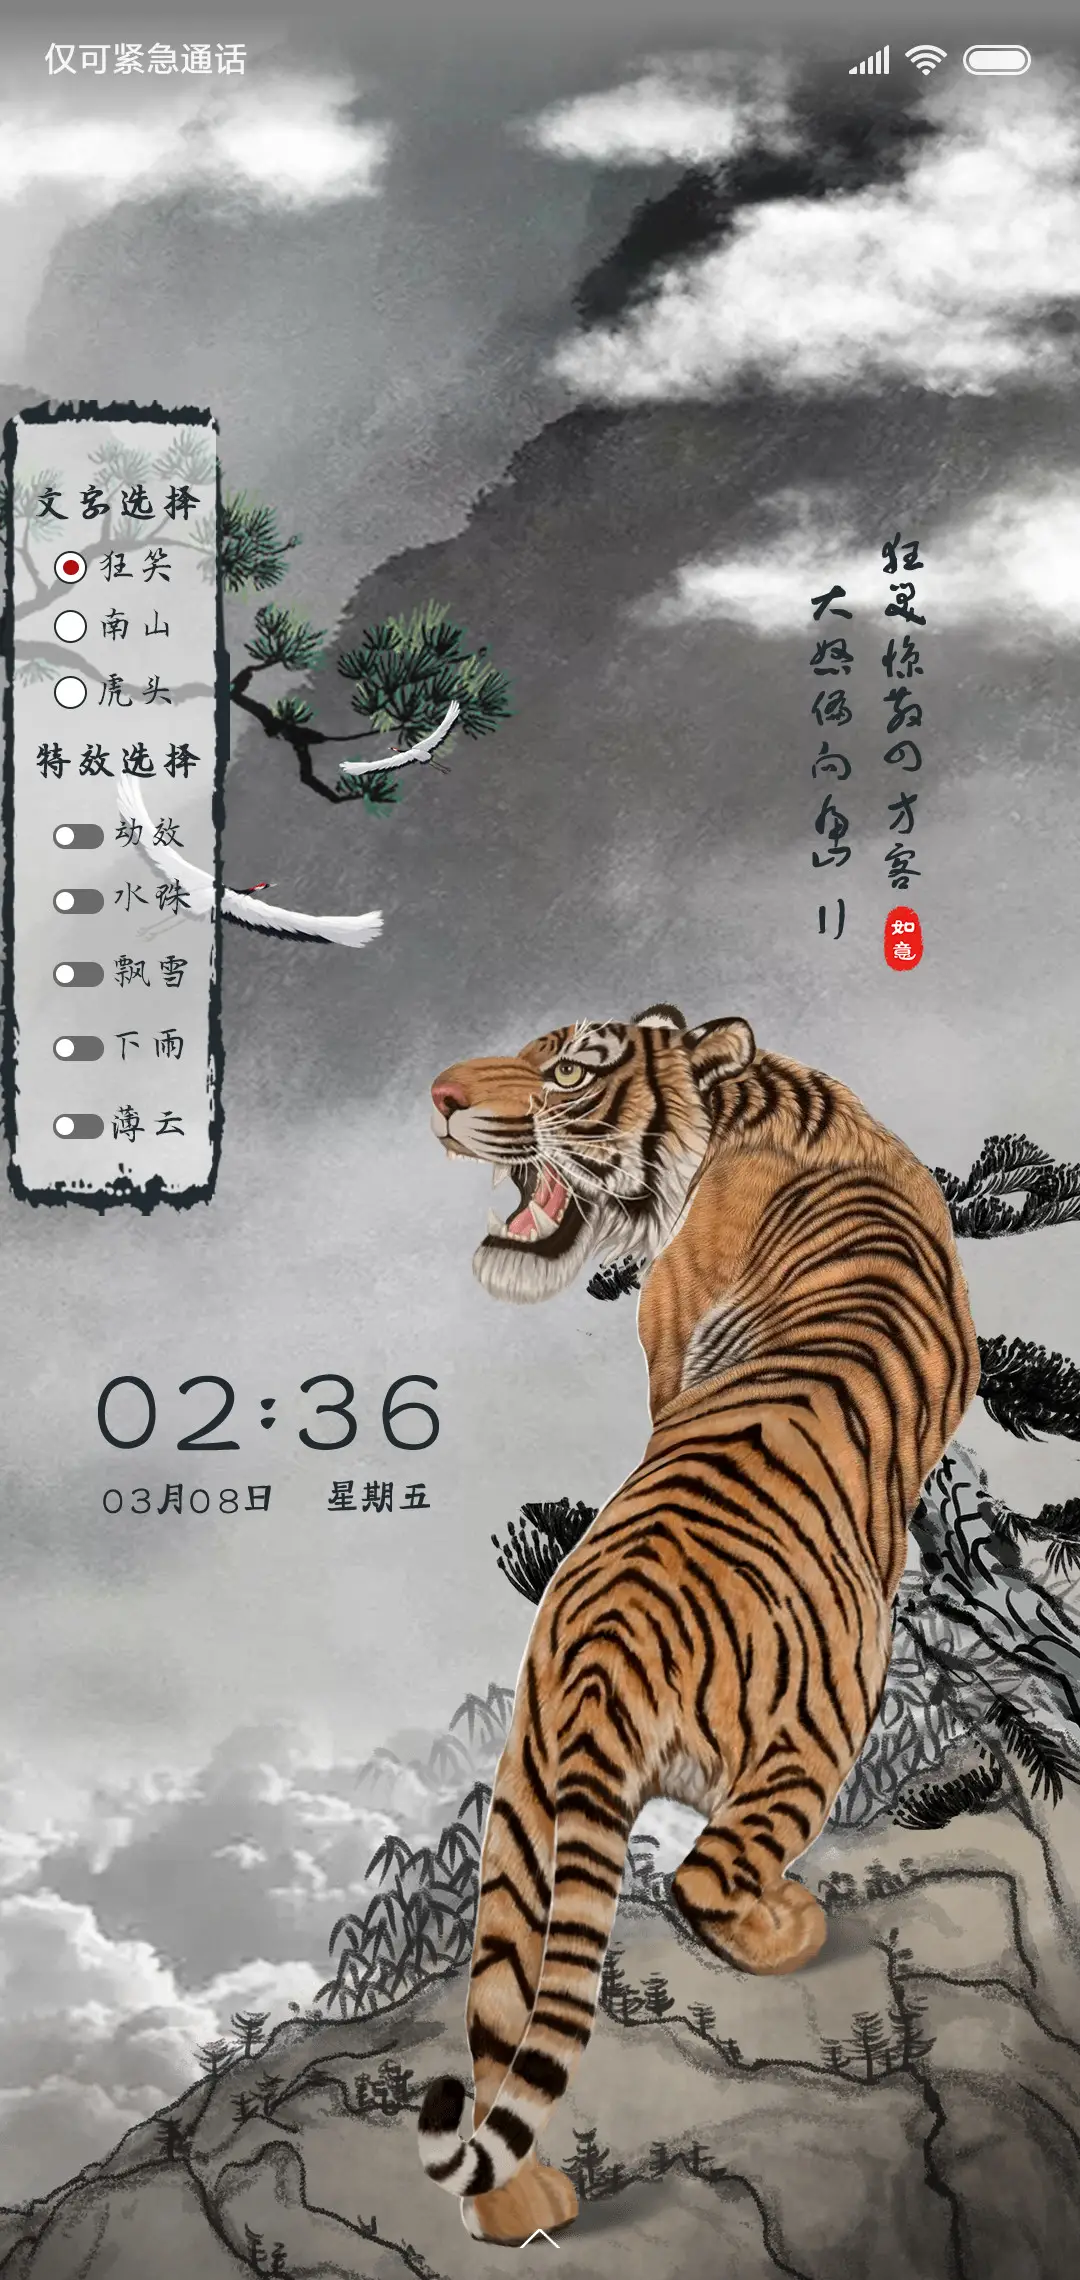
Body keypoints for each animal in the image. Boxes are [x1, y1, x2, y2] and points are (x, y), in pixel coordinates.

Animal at [418, 1004, 980, 2246]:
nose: (437, 1097)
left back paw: (519, 2207)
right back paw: (793, 1924)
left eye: (567, 1067)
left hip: (520, 1825)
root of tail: (601, 1658)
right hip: (823, 1722)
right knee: (705, 1883)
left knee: (501, 2018)